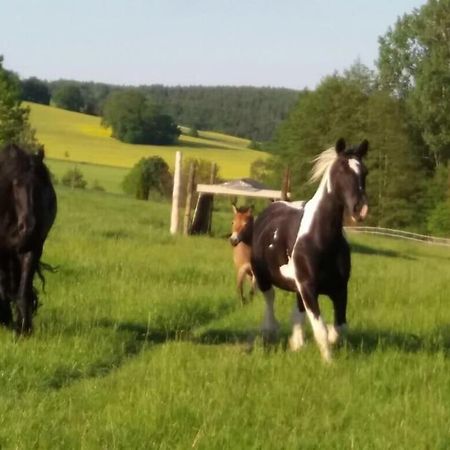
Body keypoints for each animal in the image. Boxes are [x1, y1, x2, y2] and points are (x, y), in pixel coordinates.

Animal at [0, 144, 57, 334]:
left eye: (41, 185)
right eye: (16, 183)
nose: (30, 227)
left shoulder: (32, 249)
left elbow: (23, 290)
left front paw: (24, 329)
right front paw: (7, 321)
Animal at [250, 139, 370, 360]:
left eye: (365, 172)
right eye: (340, 170)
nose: (360, 210)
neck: (321, 240)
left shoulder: (339, 289)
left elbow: (339, 328)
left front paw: (322, 344)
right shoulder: (308, 288)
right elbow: (321, 329)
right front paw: (329, 361)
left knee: (297, 313)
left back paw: (296, 343)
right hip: (263, 278)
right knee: (270, 301)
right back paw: (270, 332)